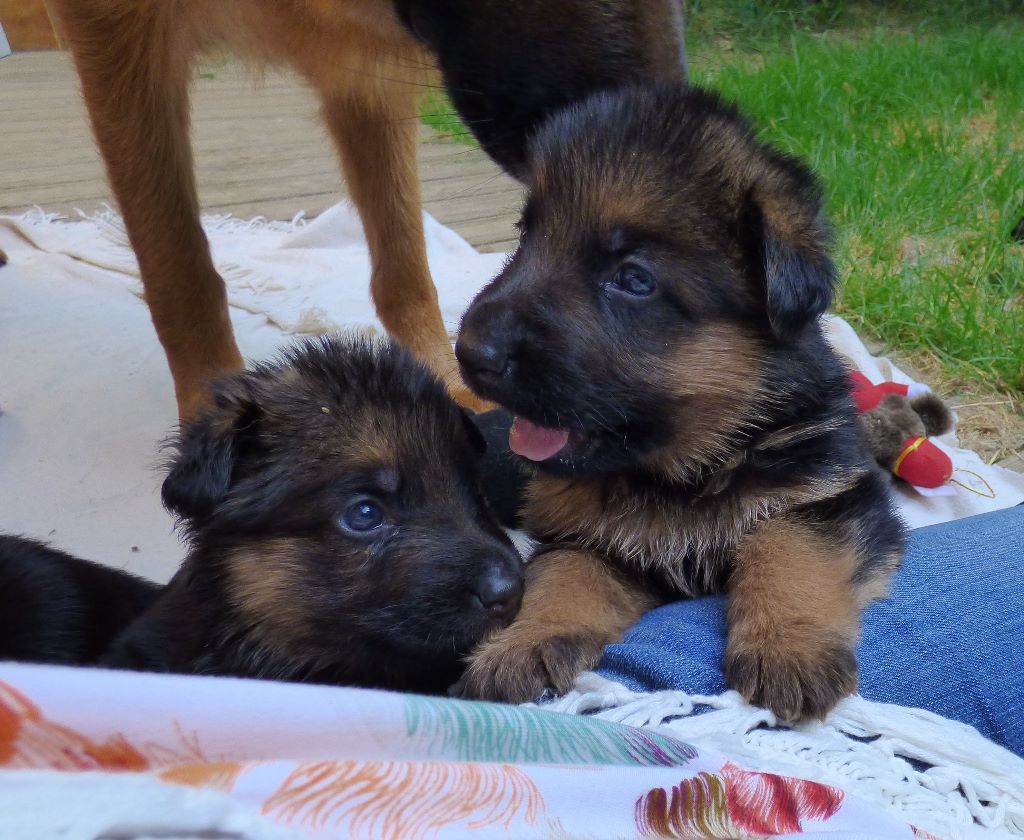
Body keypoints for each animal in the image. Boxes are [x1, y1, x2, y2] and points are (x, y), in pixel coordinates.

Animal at [48, 0, 688, 420]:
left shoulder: (365, 69)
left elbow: (404, 264)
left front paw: (443, 377)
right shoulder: (120, 38)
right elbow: (180, 272)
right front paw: (213, 415)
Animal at [454, 85, 905, 721]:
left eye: (634, 279)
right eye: (526, 239)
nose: (470, 353)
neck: (685, 473)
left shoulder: (830, 495)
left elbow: (790, 551)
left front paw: (788, 643)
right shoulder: (587, 541)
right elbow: (562, 579)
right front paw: (522, 641)